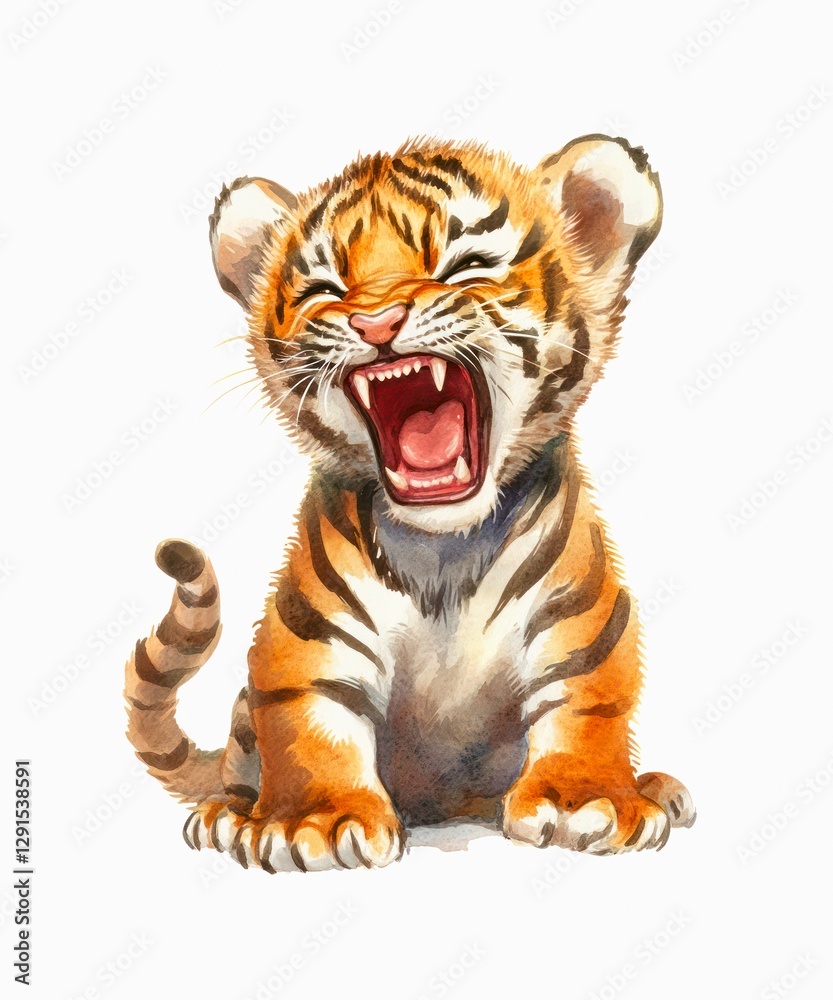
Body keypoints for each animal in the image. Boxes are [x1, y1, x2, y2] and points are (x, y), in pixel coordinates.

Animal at [125, 134, 695, 873]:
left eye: (465, 266)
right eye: (325, 289)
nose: (374, 321)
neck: (445, 550)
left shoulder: (582, 620)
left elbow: (588, 701)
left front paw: (584, 799)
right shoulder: (306, 637)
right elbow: (308, 720)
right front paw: (318, 820)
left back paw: (660, 788)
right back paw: (229, 814)